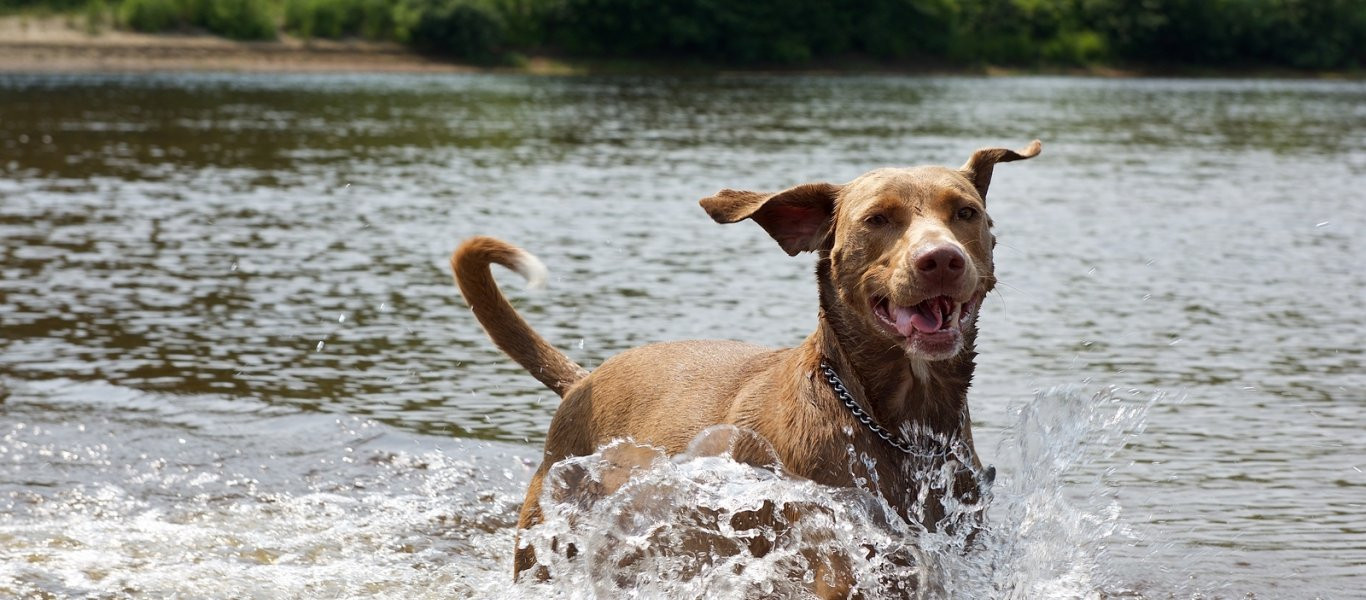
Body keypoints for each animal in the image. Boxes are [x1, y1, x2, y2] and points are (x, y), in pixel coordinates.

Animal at [453, 140, 1038, 587]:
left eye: (965, 212)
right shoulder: (827, 550)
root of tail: (584, 381)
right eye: (877, 219)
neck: (898, 424)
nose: (940, 259)